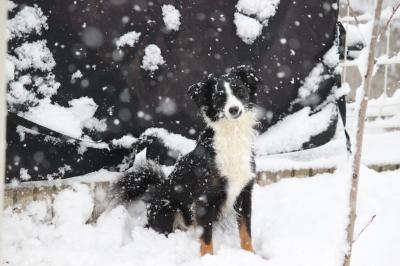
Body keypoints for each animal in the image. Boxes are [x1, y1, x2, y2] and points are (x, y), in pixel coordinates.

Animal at [112, 65, 262, 256]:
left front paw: (251, 255)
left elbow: (245, 231)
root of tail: (155, 192)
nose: (234, 109)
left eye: (240, 91)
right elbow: (206, 237)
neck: (231, 134)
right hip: (168, 208)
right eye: (219, 97)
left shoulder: (245, 192)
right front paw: (208, 258)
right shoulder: (205, 198)